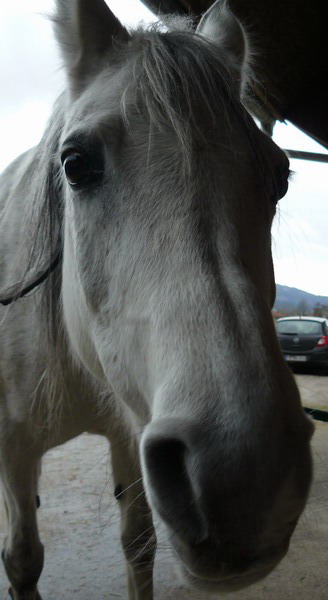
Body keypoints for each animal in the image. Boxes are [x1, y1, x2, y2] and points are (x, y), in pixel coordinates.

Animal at [0, 1, 312, 600]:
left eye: (282, 178)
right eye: (75, 164)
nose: (250, 479)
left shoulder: (131, 433)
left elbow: (138, 546)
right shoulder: (15, 450)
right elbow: (23, 559)